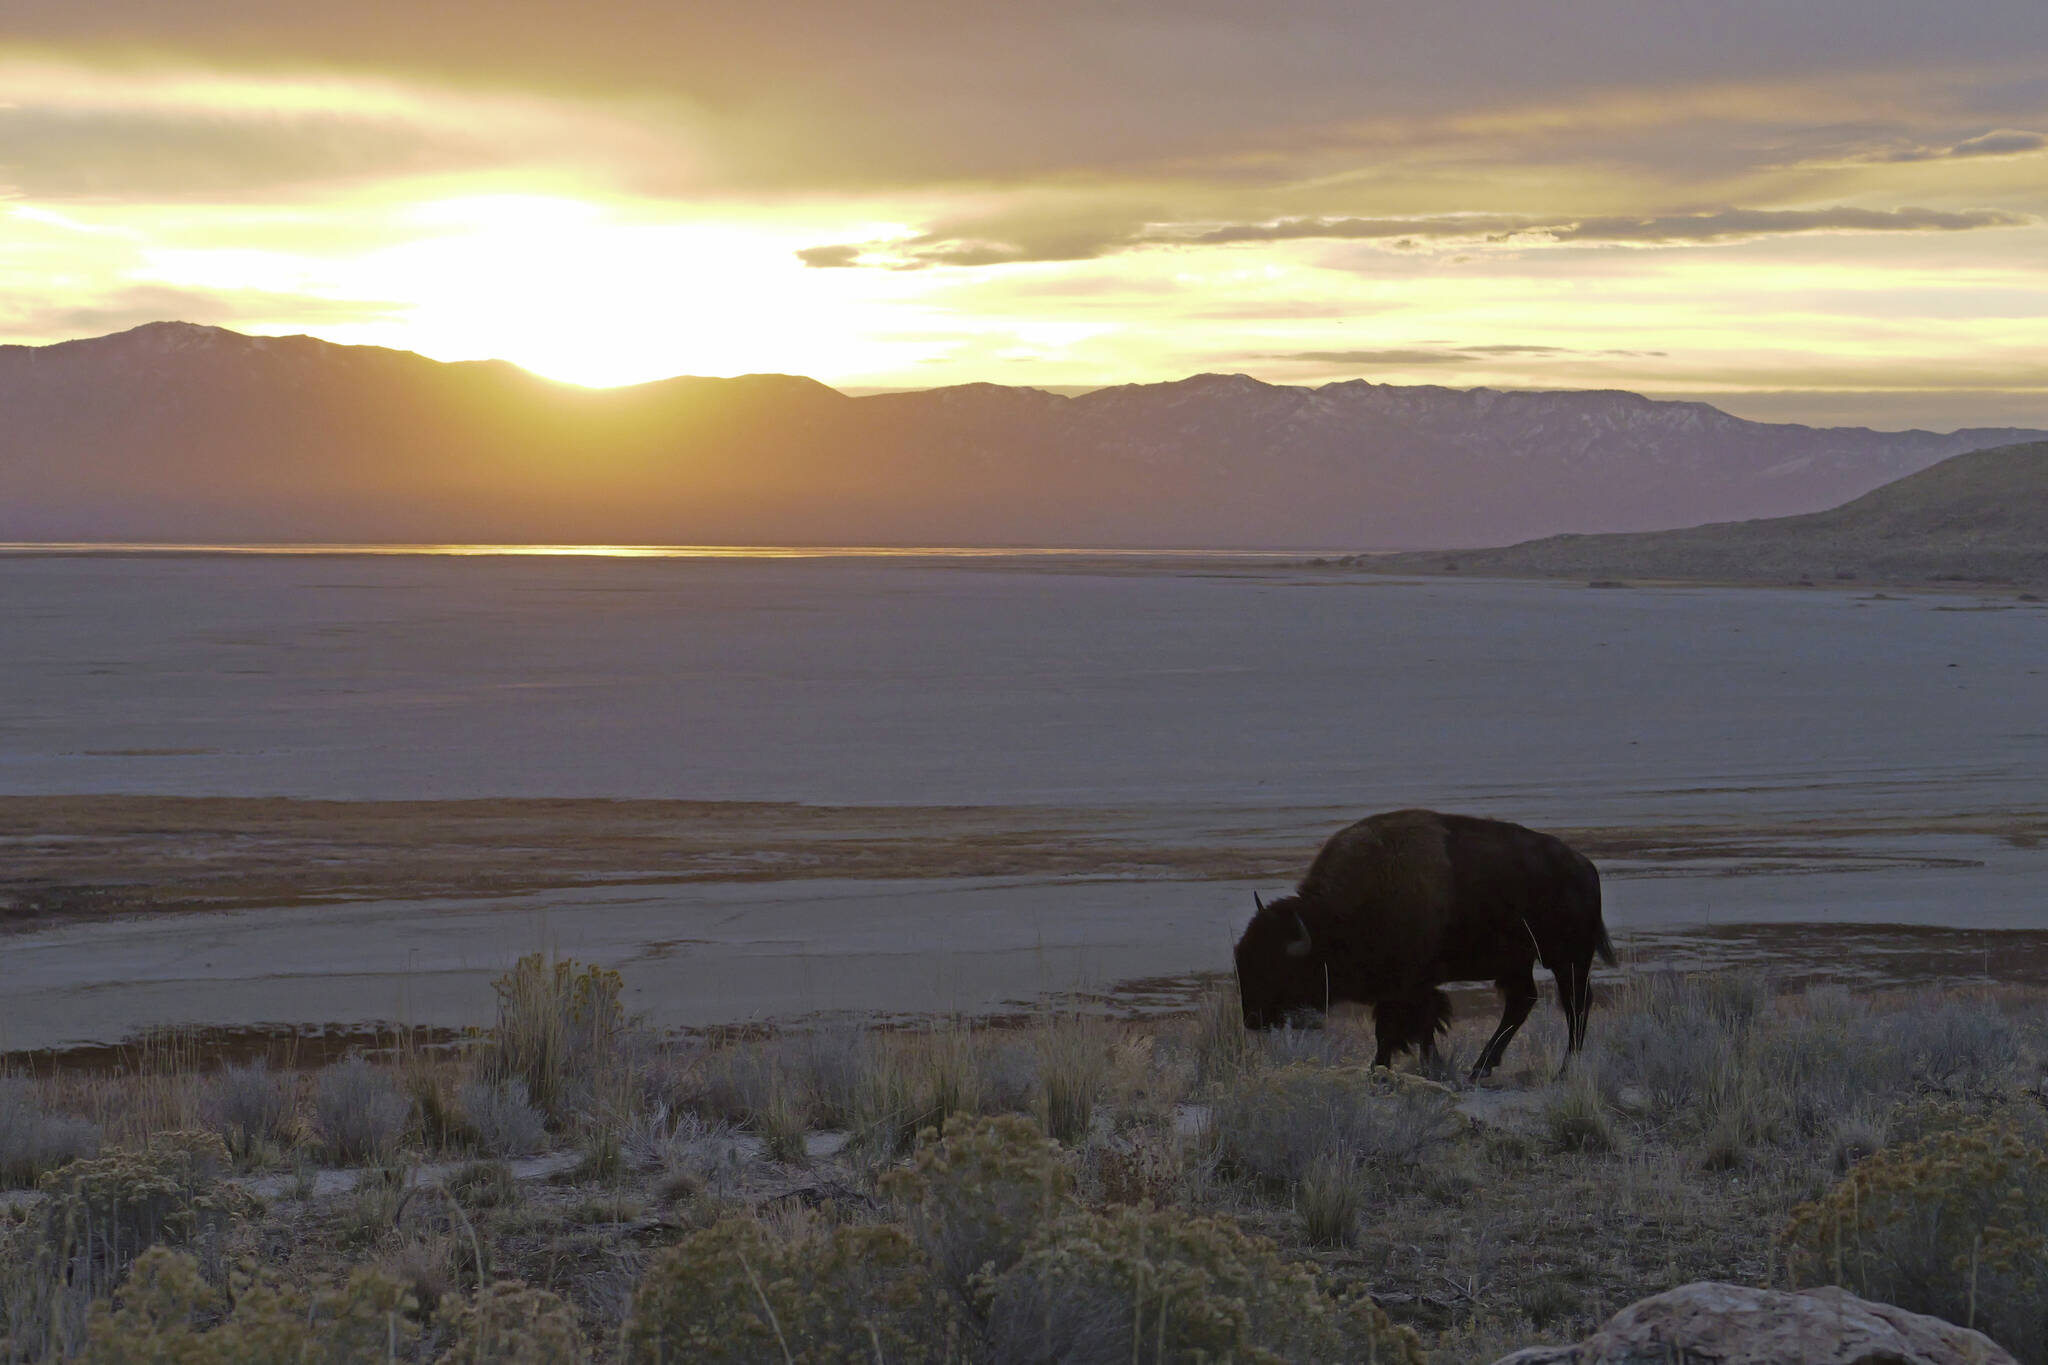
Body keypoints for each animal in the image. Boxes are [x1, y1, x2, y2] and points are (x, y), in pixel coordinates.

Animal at [1228, 810, 1613, 1080]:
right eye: (1242, 960)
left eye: (1278, 968)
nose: (1252, 1018)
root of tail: (1585, 868)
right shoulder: (1401, 990)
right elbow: (1406, 1029)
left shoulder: (1412, 987)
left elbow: (1402, 1028)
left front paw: (1392, 1068)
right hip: (1518, 964)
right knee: (1522, 1003)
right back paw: (1480, 1068)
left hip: (1567, 959)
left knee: (1576, 1006)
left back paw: (1563, 1070)